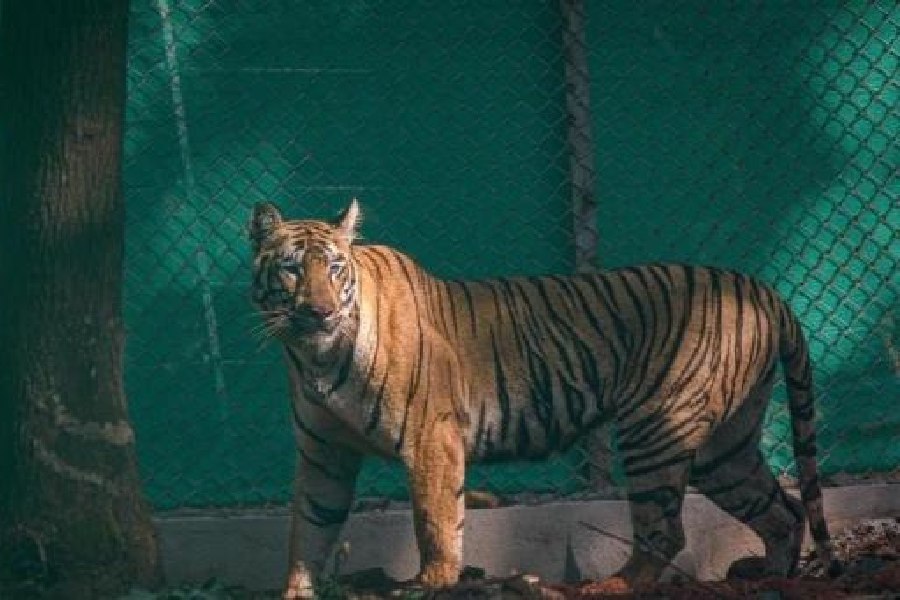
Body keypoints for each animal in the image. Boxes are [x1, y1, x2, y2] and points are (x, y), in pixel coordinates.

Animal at [248, 199, 838, 598]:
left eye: (335, 268)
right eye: (292, 268)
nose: (320, 312)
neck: (315, 357)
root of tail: (764, 289)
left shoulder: (431, 438)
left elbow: (435, 522)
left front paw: (432, 583)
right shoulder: (324, 454)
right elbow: (310, 528)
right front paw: (296, 592)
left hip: (658, 428)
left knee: (665, 531)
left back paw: (611, 586)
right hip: (724, 448)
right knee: (781, 511)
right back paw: (772, 580)